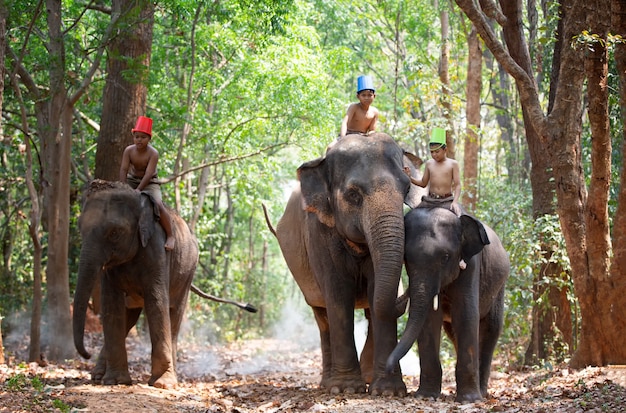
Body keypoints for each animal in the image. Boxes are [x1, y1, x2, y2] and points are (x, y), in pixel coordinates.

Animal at [73, 179, 200, 386]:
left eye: (114, 232)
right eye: (80, 228)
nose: (87, 354)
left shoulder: (158, 250)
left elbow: (156, 301)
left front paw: (162, 383)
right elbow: (111, 304)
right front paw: (115, 381)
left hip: (187, 274)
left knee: (174, 314)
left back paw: (172, 378)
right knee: (129, 318)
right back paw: (98, 376)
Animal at [266, 133, 422, 396]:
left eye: (407, 188)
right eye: (353, 195)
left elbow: (376, 293)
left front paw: (388, 392)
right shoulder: (318, 232)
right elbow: (338, 295)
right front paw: (346, 389)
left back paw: (366, 378)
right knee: (323, 318)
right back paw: (327, 383)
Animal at [382, 208, 510, 400]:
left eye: (445, 257)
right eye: (405, 258)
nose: (388, 369)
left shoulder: (471, 266)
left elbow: (466, 315)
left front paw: (469, 400)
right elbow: (429, 319)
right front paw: (426, 397)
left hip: (499, 286)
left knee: (491, 328)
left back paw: (481, 393)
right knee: (453, 332)